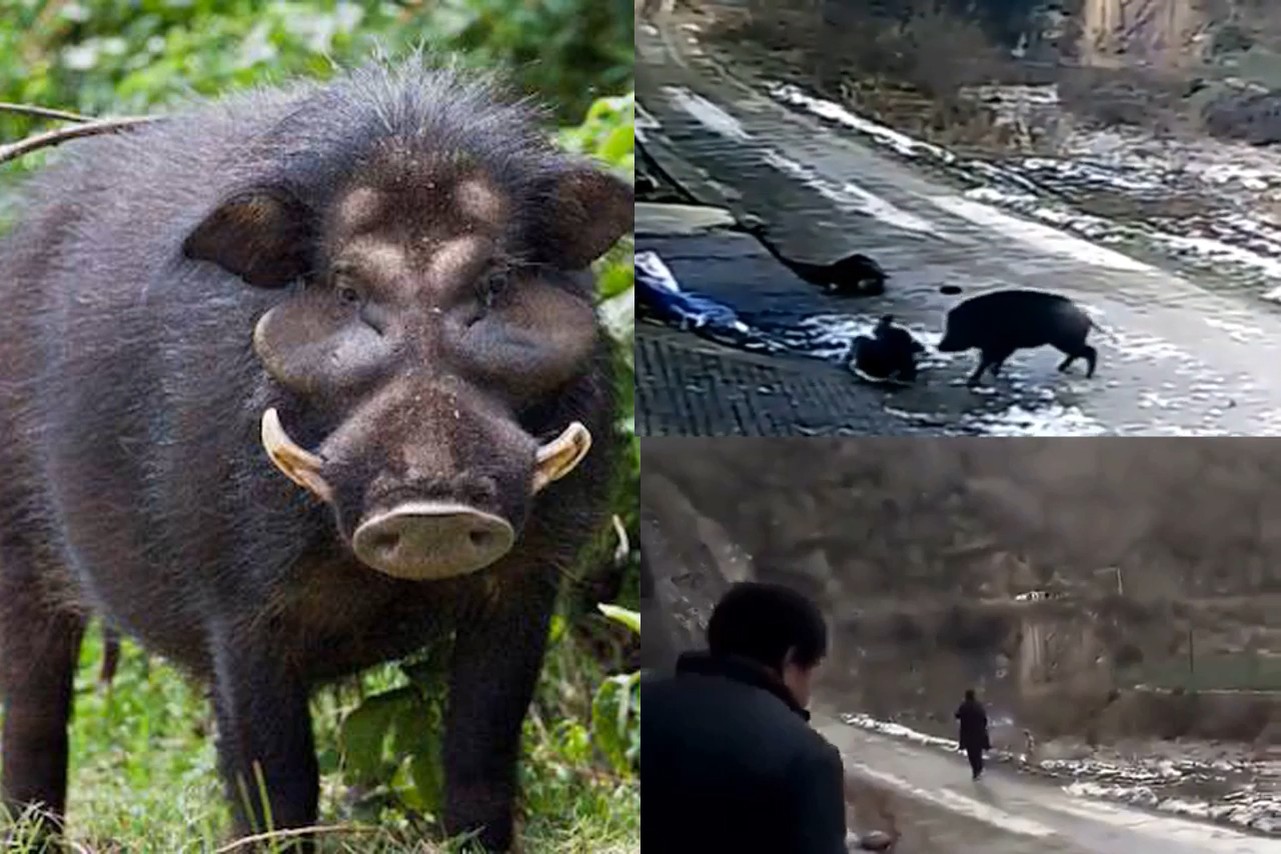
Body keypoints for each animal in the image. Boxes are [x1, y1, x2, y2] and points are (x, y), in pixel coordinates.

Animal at [0, 56, 632, 850]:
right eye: (346, 287)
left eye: (493, 283)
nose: (432, 509)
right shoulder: (237, 605)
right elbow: (275, 777)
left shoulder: (524, 585)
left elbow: (481, 750)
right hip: (22, 566)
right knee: (33, 711)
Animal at [932, 291, 1101, 389]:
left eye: (957, 328)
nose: (939, 346)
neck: (981, 320)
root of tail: (1086, 318)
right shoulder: (1007, 345)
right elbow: (996, 359)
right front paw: (993, 371)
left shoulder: (996, 344)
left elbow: (985, 360)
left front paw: (972, 380)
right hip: (1067, 342)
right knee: (1081, 352)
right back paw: (1061, 368)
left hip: (1066, 342)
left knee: (1090, 351)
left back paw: (1087, 375)